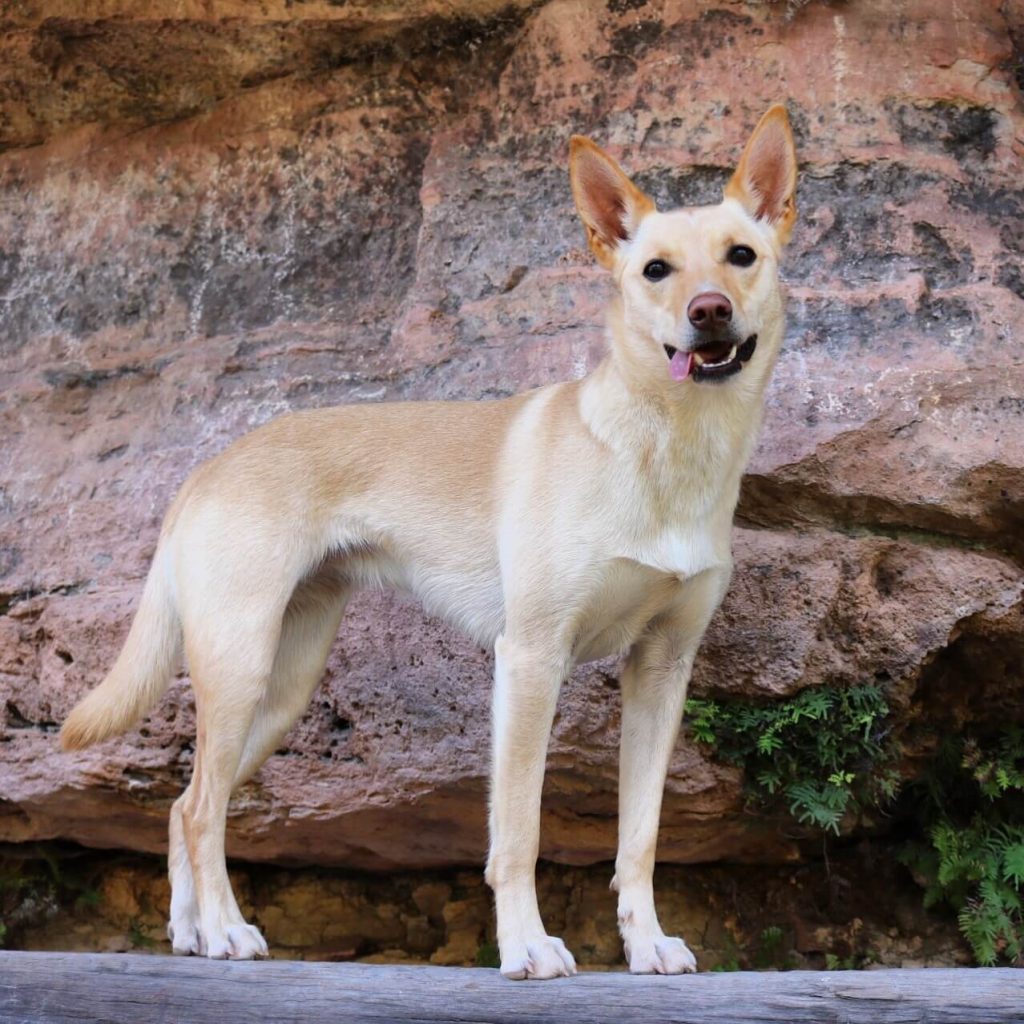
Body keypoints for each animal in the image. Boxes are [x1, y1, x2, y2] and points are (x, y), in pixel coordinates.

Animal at [61, 103, 798, 974]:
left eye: (741, 255)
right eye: (656, 270)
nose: (709, 310)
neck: (665, 448)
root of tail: (208, 467)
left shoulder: (660, 672)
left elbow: (641, 837)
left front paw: (645, 943)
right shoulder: (531, 659)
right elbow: (518, 832)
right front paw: (526, 947)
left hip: (283, 688)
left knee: (180, 806)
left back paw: (192, 932)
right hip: (239, 667)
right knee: (204, 809)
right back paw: (228, 930)